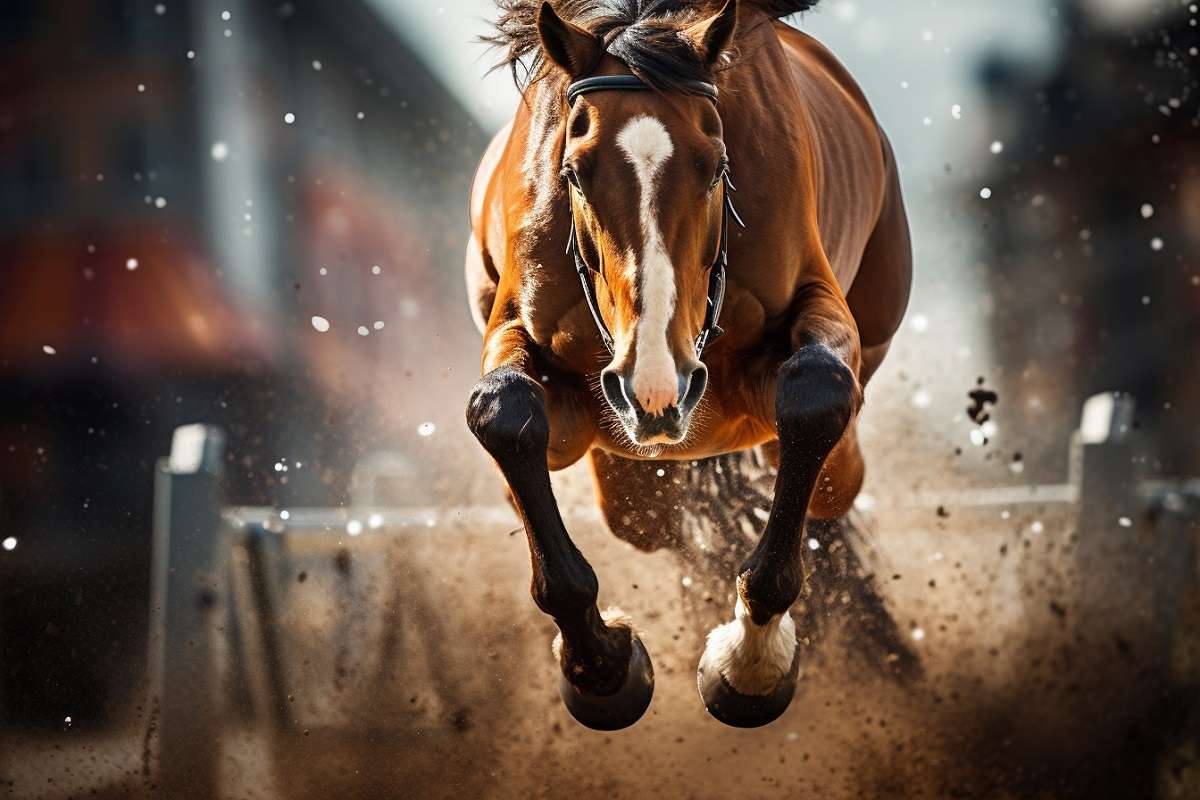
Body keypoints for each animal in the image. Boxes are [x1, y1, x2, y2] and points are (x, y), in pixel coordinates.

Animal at [465, 0, 912, 730]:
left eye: (714, 165)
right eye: (575, 172)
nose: (653, 387)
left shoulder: (812, 309)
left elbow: (814, 393)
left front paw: (749, 664)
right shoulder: (531, 351)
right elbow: (504, 414)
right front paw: (603, 669)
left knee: (822, 484)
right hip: (630, 471)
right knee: (656, 519)